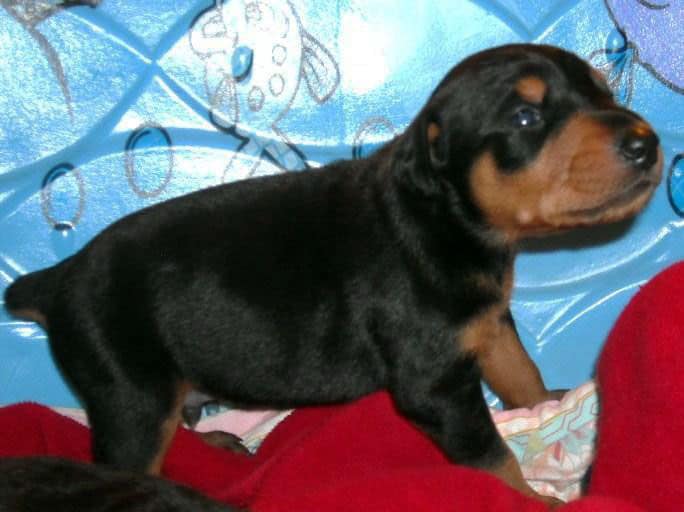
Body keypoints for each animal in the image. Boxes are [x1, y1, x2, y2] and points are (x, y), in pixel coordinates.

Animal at [2, 45, 660, 504]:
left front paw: (548, 407)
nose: (647, 143)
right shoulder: (435, 384)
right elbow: (492, 456)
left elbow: (521, 374)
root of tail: (57, 279)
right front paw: (535, 497)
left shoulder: (487, 321)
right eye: (525, 118)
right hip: (131, 394)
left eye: (605, 92)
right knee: (128, 460)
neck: (446, 218)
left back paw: (213, 441)